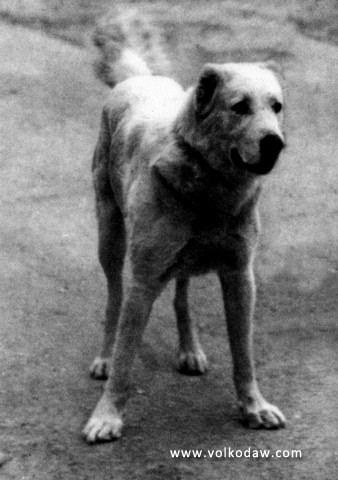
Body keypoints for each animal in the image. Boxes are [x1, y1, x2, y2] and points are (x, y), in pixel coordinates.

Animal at [82, 55, 286, 442]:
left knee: (182, 291)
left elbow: (244, 353)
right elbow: (125, 359)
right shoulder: (143, 283)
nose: (276, 143)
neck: (209, 186)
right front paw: (107, 415)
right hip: (110, 238)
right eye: (240, 107)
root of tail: (142, 78)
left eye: (276, 107)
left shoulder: (240, 277)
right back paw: (104, 357)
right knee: (114, 297)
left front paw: (254, 407)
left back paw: (190, 350)